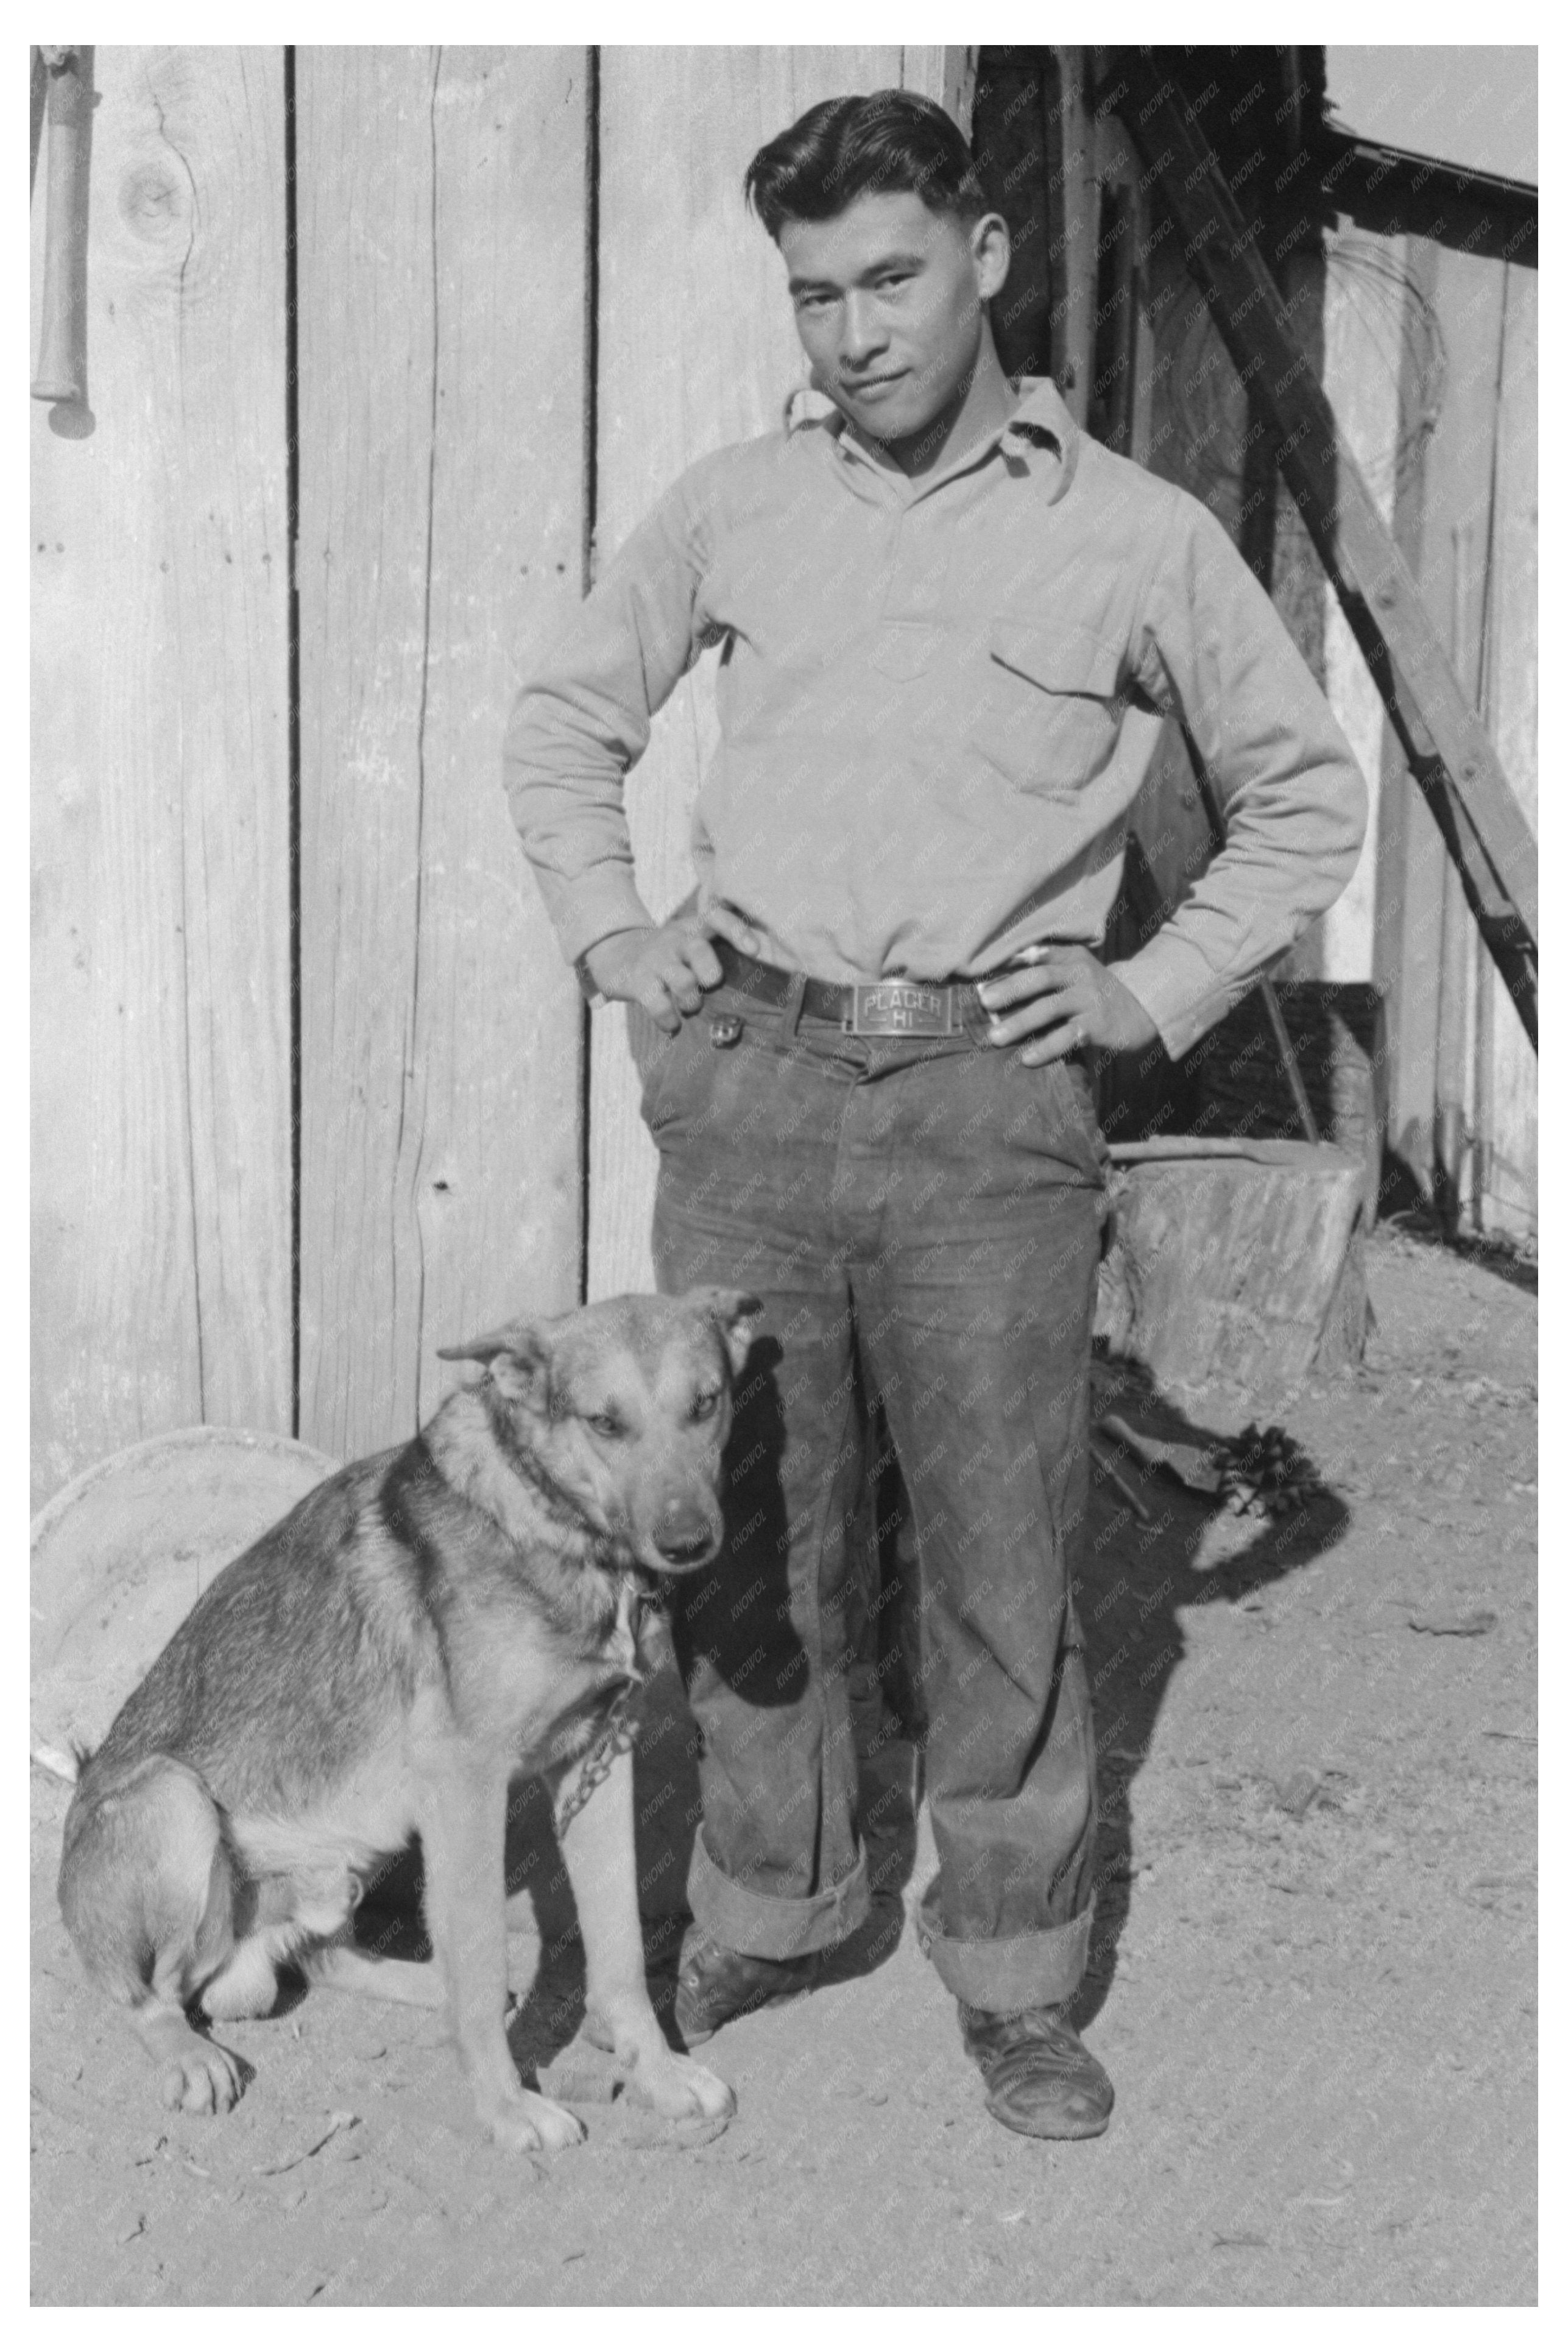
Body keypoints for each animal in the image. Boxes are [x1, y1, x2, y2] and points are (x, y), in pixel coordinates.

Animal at [64, 1288, 761, 2154]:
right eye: (605, 1423)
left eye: (706, 1404)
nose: (688, 1542)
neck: (546, 1519)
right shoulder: (467, 1784)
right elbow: (484, 1952)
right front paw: (507, 2110)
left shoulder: (600, 1760)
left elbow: (622, 1953)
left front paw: (658, 2077)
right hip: (175, 1801)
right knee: (151, 1995)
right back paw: (190, 2054)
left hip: (357, 1848)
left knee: (322, 1958)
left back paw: (420, 1983)